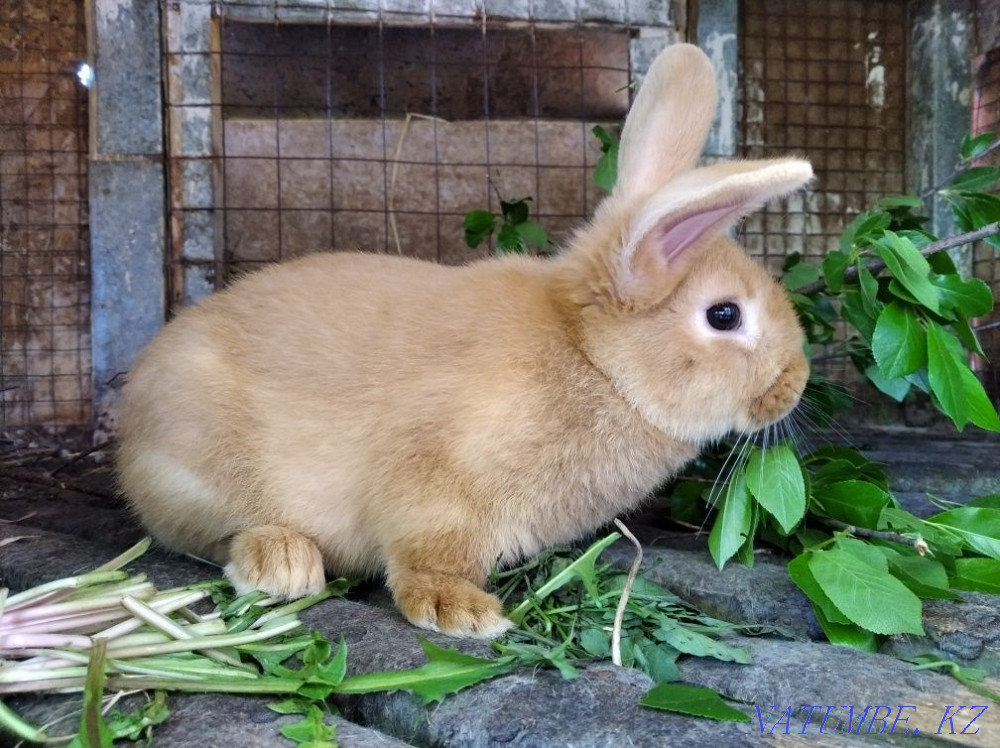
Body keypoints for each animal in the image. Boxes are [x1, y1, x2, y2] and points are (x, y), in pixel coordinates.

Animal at [117, 43, 813, 639]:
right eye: (724, 315)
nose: (796, 382)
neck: (593, 360)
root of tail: (131, 430)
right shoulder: (440, 486)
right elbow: (428, 557)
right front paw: (461, 612)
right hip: (206, 468)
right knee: (207, 534)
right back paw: (282, 564)